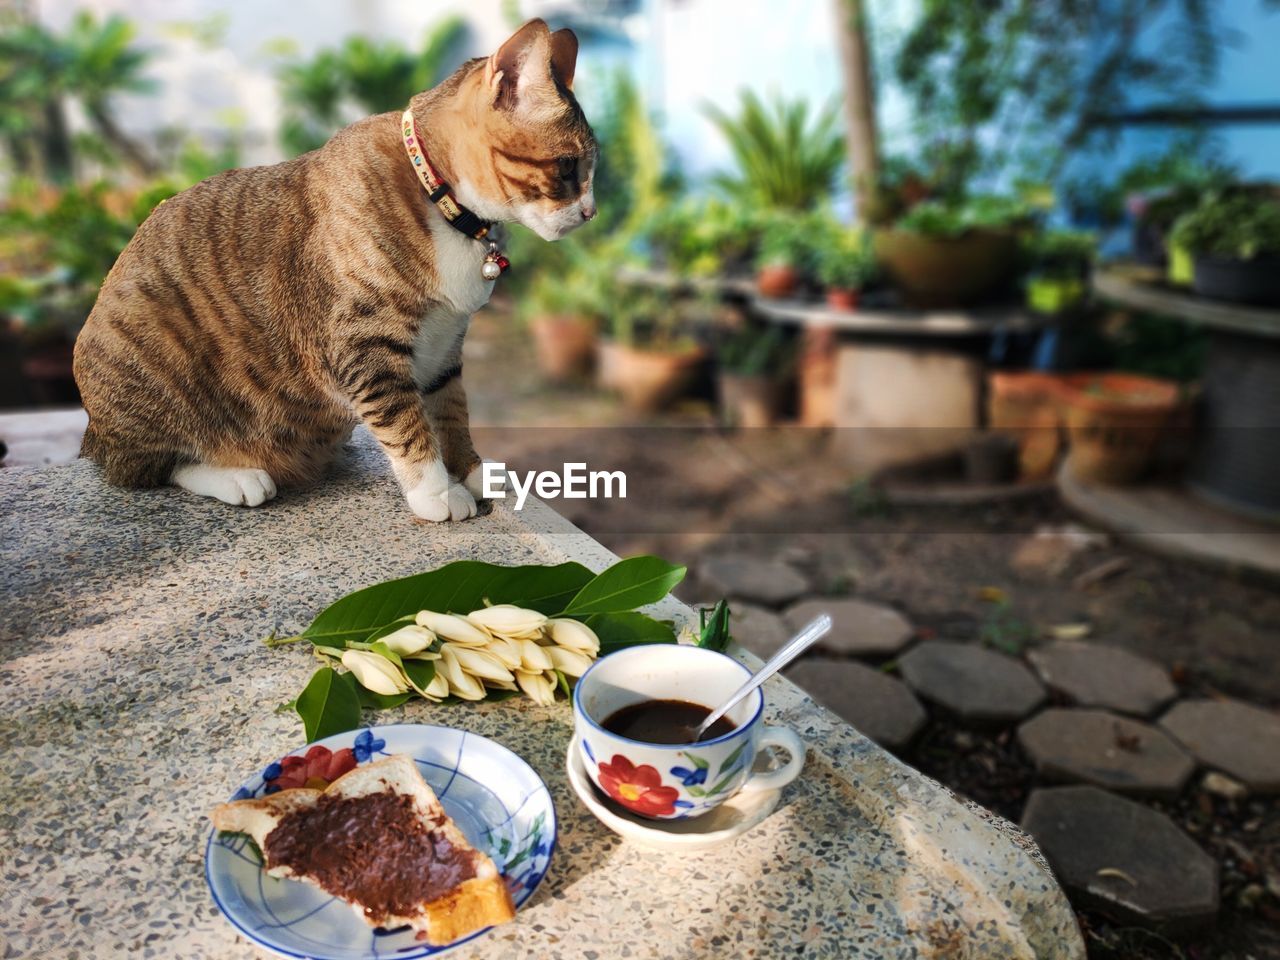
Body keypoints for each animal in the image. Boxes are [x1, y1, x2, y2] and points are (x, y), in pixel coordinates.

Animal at [74, 18, 599, 522]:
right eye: (567, 167)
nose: (591, 212)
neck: (438, 197)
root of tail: (93, 433)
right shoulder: (363, 346)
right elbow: (405, 421)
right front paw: (435, 491)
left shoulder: (444, 342)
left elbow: (450, 409)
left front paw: (467, 467)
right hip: (152, 363)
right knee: (149, 465)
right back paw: (236, 475)